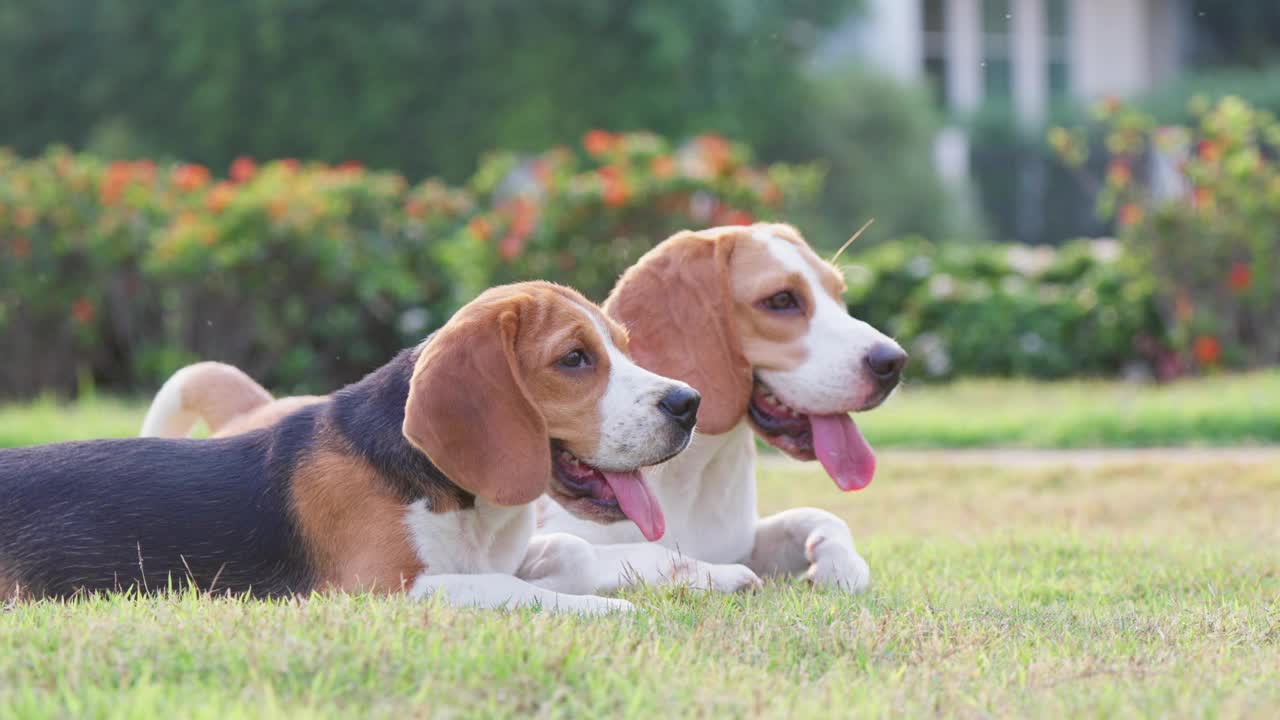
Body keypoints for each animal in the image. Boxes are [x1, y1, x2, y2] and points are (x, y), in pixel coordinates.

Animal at [2, 280, 701, 609]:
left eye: (624, 346)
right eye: (574, 359)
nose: (688, 403)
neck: (457, 500)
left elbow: (580, 556)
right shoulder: (382, 587)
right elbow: (521, 593)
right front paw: (619, 613)